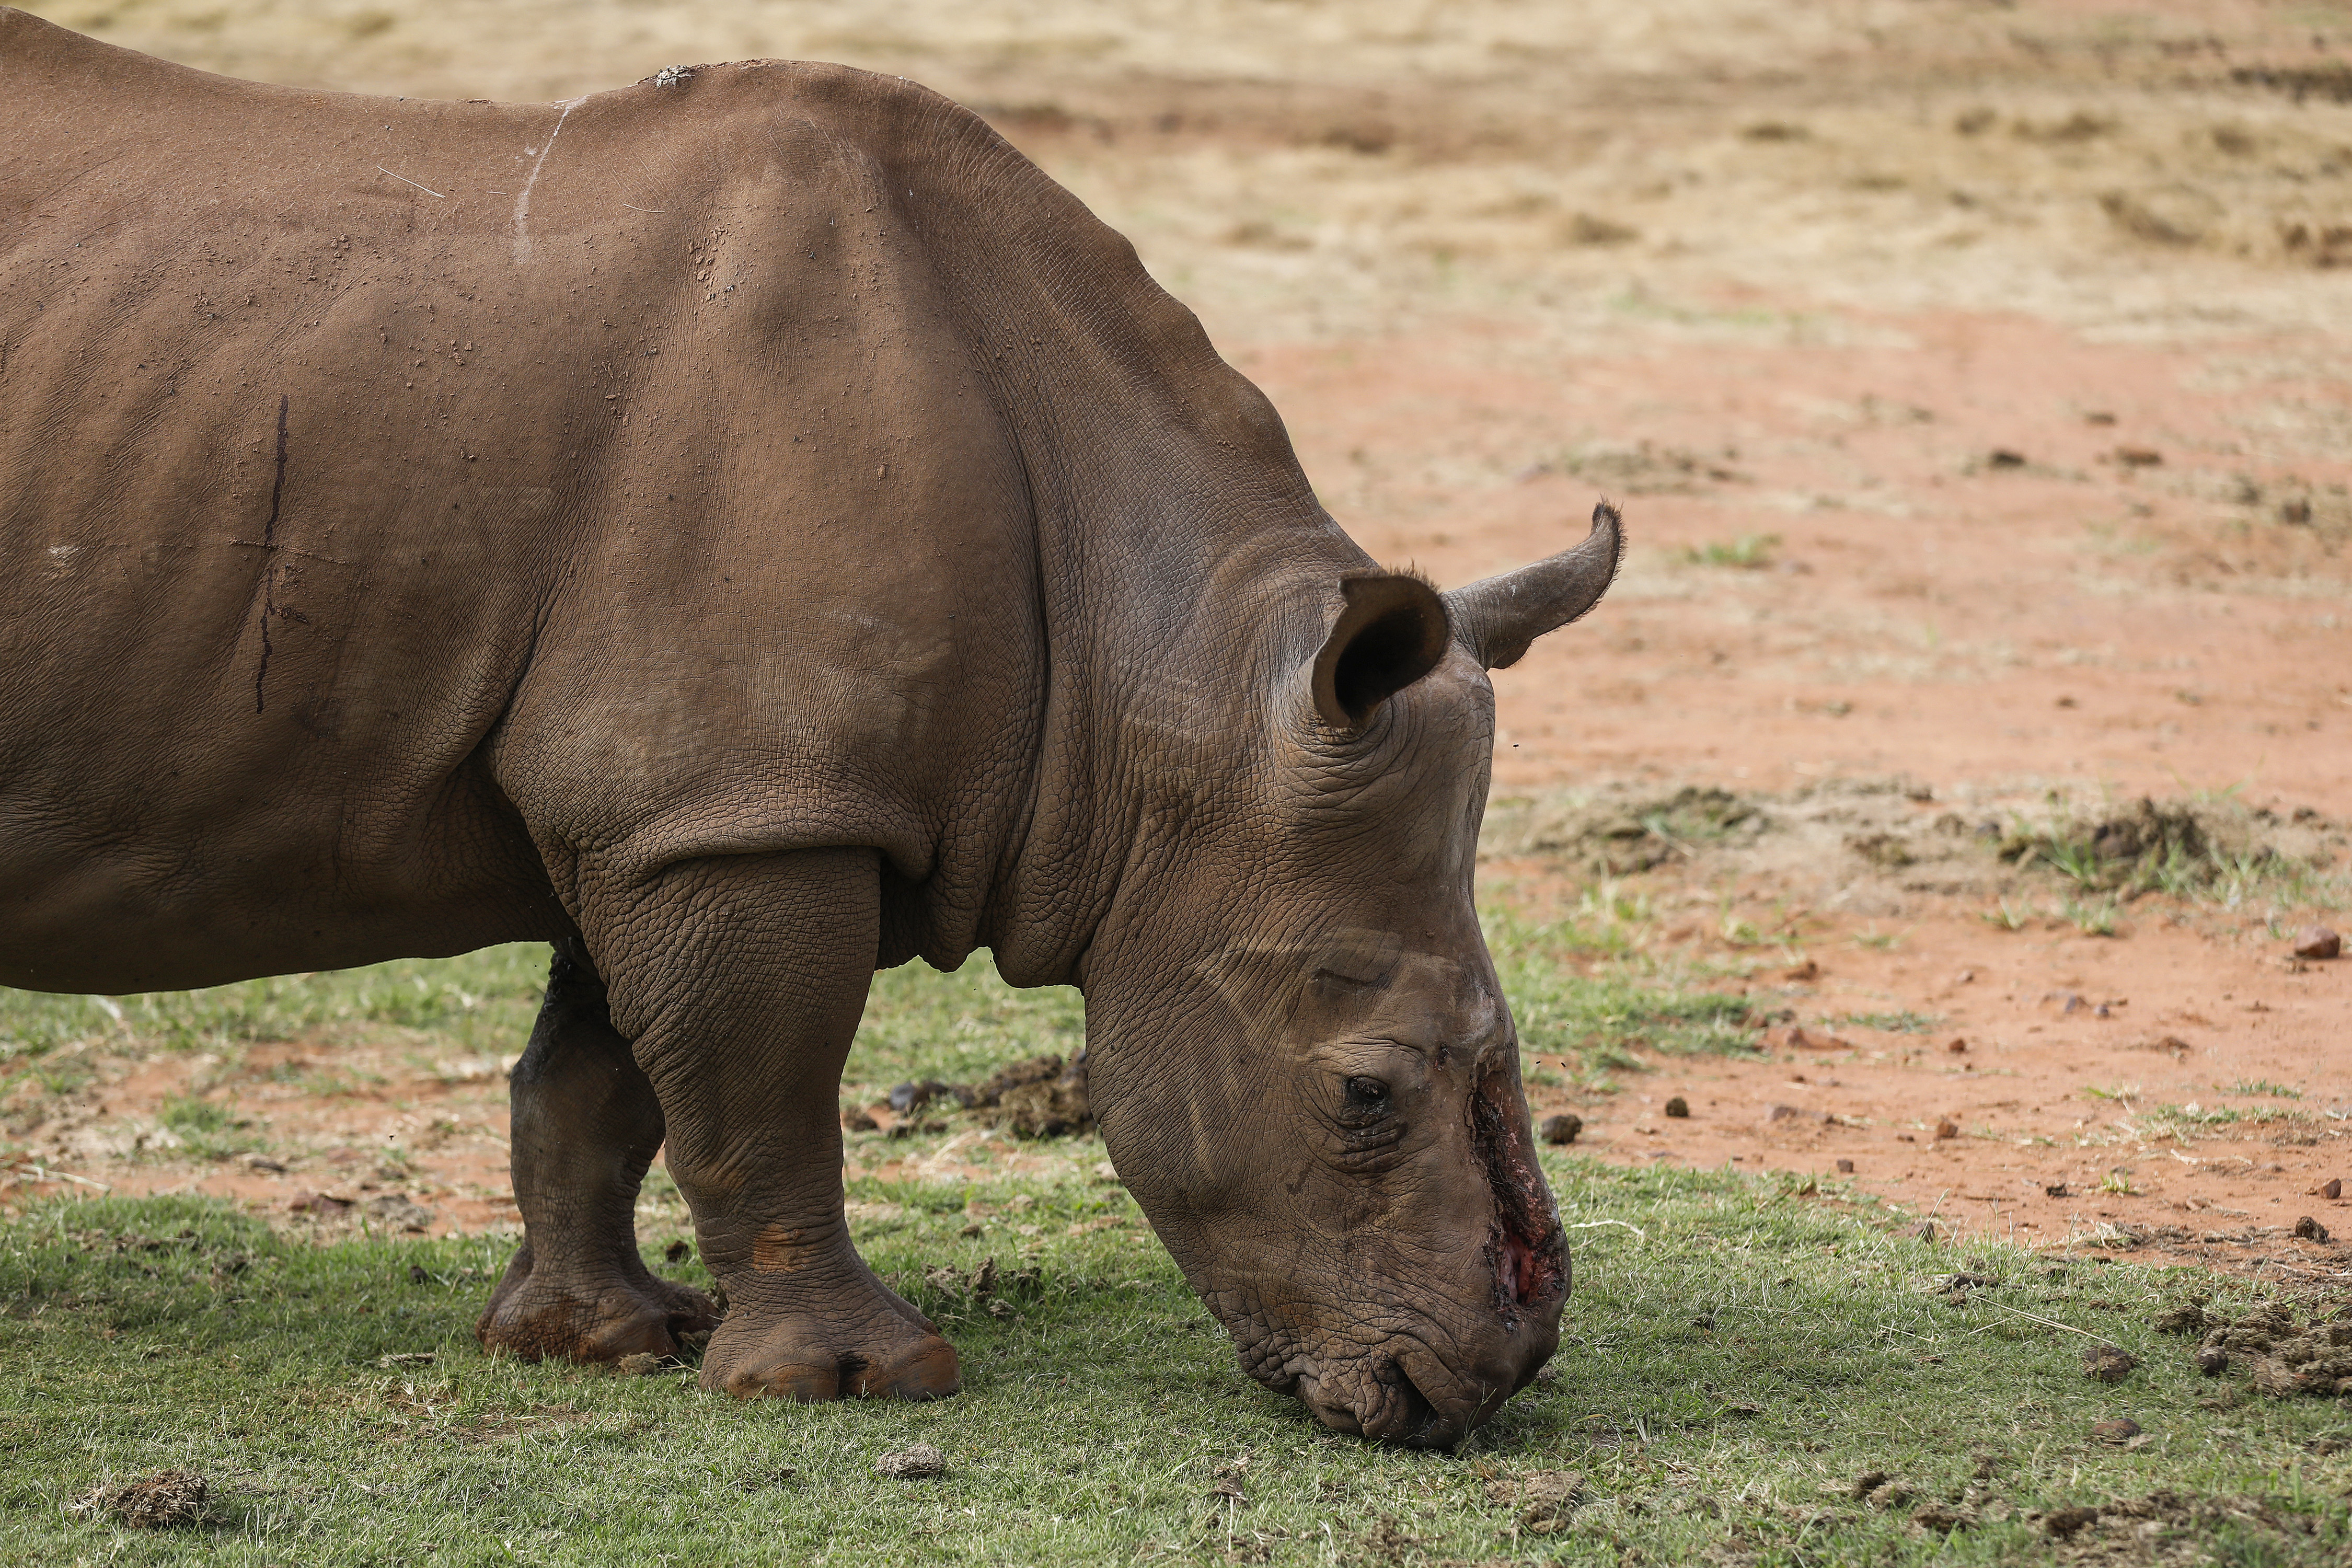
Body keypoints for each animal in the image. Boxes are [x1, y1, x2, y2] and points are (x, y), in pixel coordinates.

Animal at [0, 10, 1620, 1446]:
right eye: (1363, 1093)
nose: (1474, 1388)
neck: (1168, 682)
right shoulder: (739, 802)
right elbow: (758, 1080)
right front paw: (852, 1383)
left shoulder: (683, 801)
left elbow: (600, 1077)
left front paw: (595, 1342)